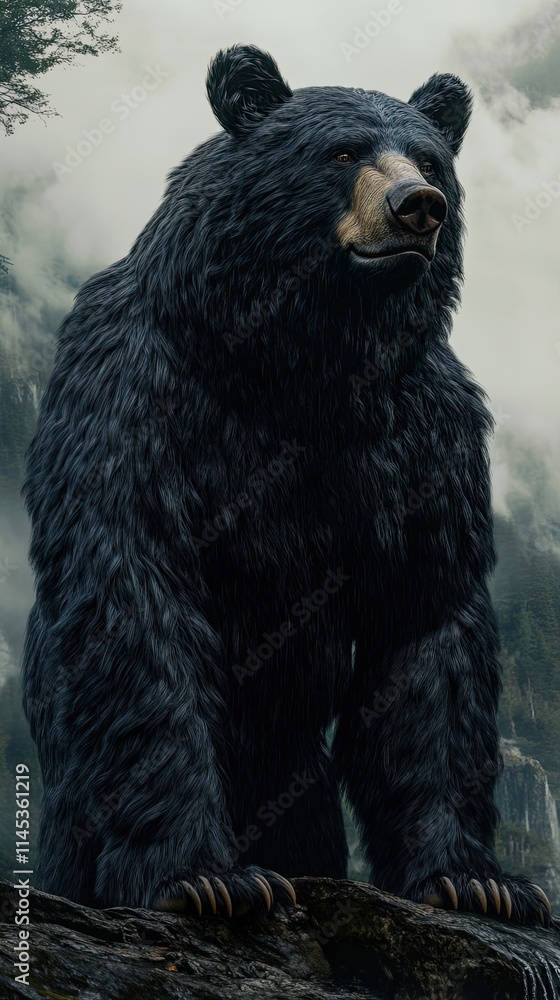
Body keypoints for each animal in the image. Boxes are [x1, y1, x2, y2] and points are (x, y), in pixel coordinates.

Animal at [21, 43, 552, 927]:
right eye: (342, 152)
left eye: (430, 158)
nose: (419, 206)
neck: (301, 364)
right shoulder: (140, 389)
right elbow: (136, 588)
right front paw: (204, 877)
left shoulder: (425, 432)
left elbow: (426, 625)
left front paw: (477, 882)